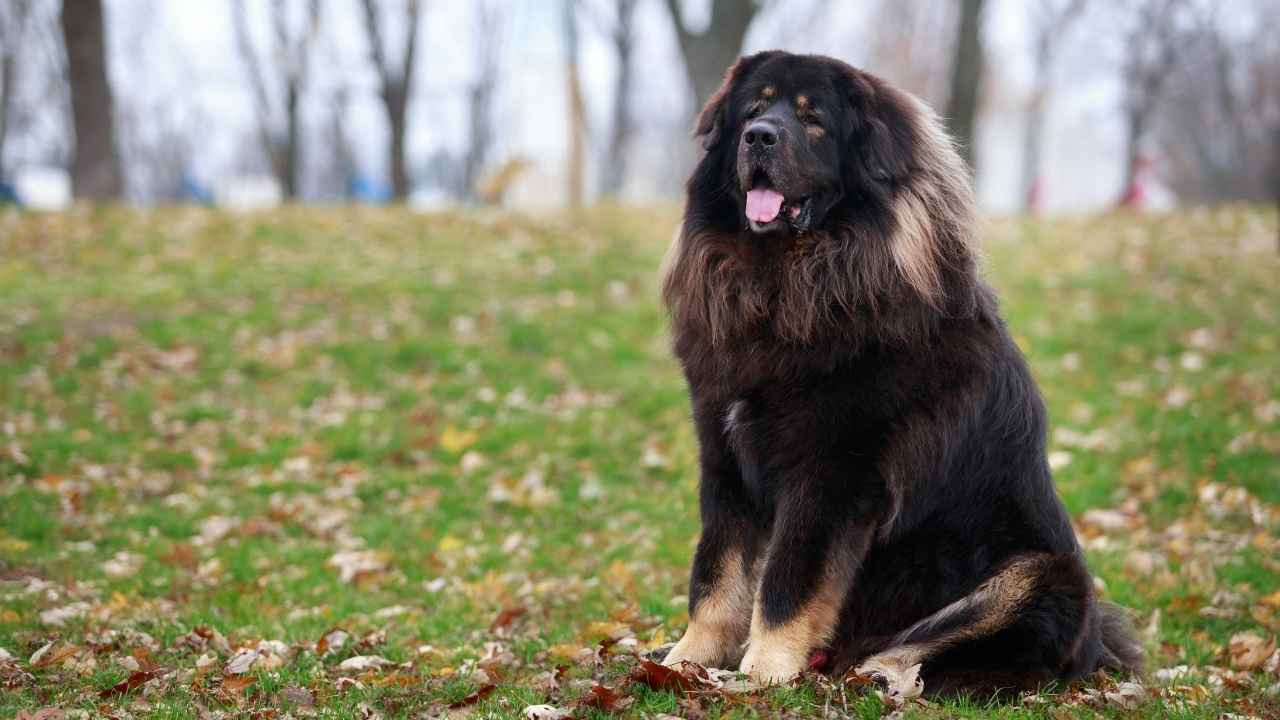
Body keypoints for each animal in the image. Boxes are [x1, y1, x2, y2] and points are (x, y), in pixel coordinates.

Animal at [660, 51, 1141, 696]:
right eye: (753, 110)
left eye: (813, 120)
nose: (758, 137)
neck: (787, 280)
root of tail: (1095, 654)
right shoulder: (724, 452)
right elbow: (716, 574)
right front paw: (685, 661)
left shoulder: (831, 472)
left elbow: (786, 582)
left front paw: (762, 672)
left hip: (1044, 574)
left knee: (937, 649)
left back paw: (873, 671)